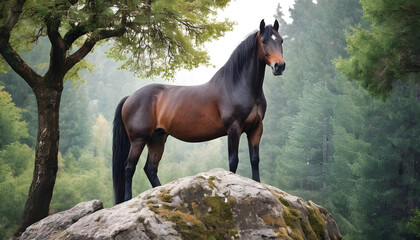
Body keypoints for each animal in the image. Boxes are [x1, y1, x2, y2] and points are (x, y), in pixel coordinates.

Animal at [113, 19, 288, 204]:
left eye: (281, 40)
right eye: (264, 41)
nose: (279, 66)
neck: (236, 85)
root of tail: (130, 97)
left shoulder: (256, 128)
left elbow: (255, 159)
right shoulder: (234, 128)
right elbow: (233, 160)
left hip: (157, 138)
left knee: (150, 169)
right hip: (138, 139)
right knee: (129, 167)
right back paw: (128, 199)